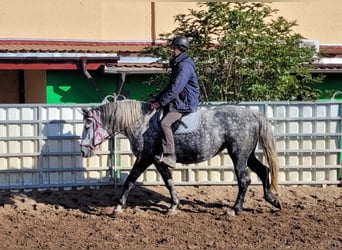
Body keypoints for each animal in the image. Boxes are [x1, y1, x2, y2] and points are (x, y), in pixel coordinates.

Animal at [79, 99, 280, 215]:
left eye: (88, 126)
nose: (83, 151)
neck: (142, 123)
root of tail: (251, 112)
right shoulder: (158, 161)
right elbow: (169, 182)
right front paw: (174, 206)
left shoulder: (145, 158)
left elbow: (130, 180)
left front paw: (118, 207)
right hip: (248, 154)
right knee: (263, 170)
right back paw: (273, 200)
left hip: (238, 154)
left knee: (244, 179)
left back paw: (235, 209)